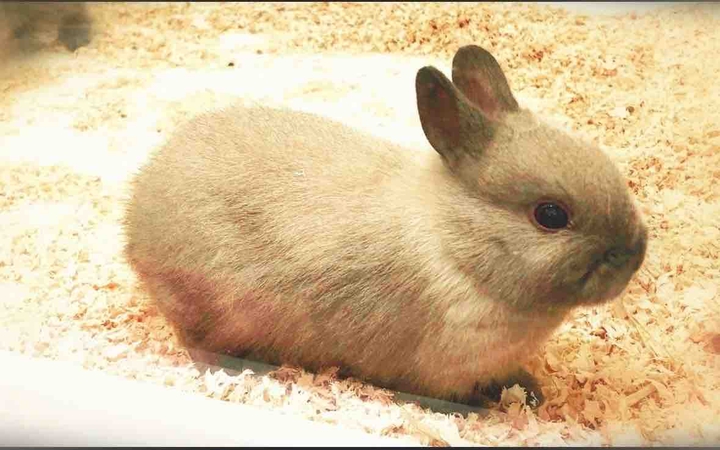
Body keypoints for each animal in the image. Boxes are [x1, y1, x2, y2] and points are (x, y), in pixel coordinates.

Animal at [123, 45, 648, 408]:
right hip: (208, 308)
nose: (636, 252)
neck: (458, 248)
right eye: (550, 215)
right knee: (197, 345)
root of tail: (135, 217)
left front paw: (531, 391)